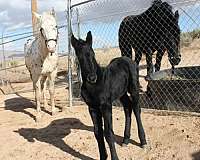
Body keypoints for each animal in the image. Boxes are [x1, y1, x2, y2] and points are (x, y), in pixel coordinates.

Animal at [71, 31, 147, 160]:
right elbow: (98, 133)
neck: (94, 85)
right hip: (121, 93)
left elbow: (108, 133)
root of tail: (128, 59)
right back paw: (126, 140)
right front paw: (103, 156)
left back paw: (143, 142)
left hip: (134, 88)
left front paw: (114, 157)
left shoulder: (106, 106)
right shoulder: (92, 108)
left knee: (136, 109)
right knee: (128, 107)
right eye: (79, 57)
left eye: (93, 54)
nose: (92, 78)